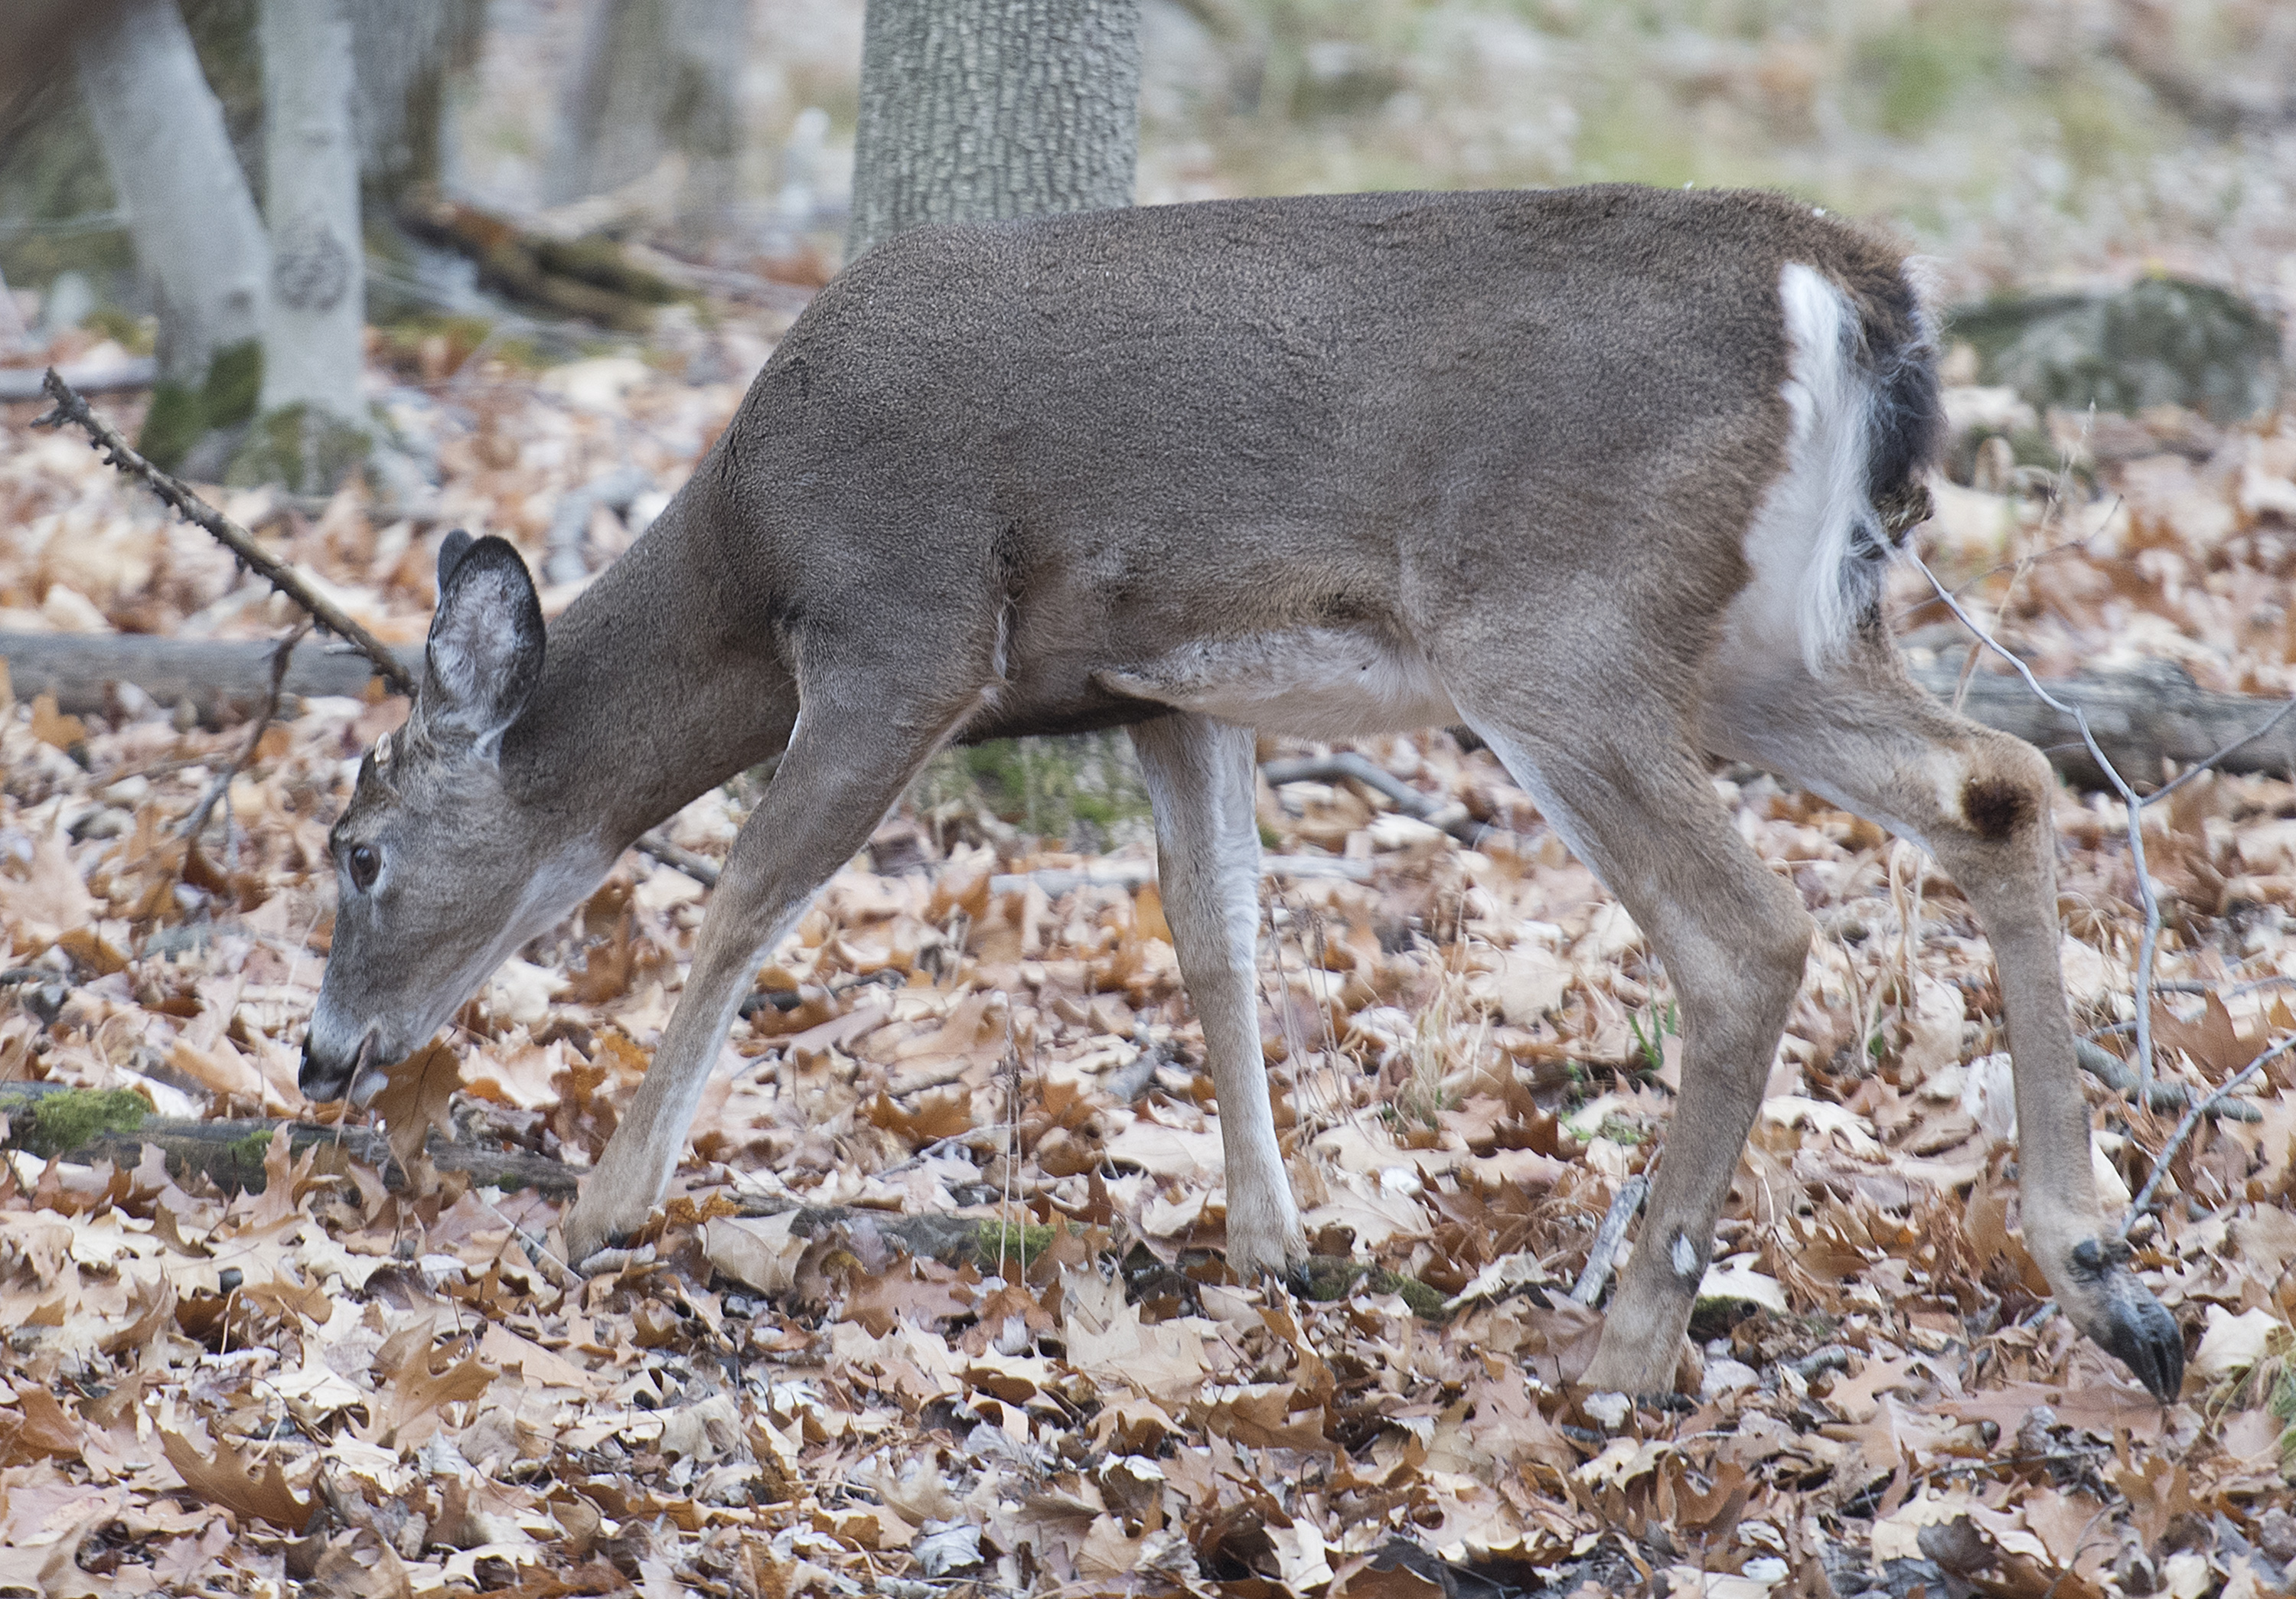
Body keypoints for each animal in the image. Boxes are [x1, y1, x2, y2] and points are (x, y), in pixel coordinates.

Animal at [305, 184, 2186, 1396]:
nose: (322, 1057)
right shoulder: (1168, 691)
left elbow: (749, 899)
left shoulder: (904, 627)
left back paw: (1633, 1350)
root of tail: (1852, 291)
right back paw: (2105, 1273)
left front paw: (606, 1205)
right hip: (1764, 634)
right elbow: (1218, 938)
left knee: (1753, 933)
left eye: (359, 851)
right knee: (1998, 778)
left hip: (1552, 630)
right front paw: (1273, 1240)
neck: (749, 566)